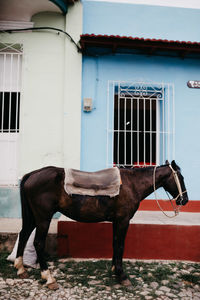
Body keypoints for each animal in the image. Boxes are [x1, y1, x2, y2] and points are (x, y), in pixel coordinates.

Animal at [14, 161, 189, 290]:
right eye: (180, 177)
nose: (185, 200)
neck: (132, 184)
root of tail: (32, 174)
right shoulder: (123, 220)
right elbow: (120, 245)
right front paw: (122, 276)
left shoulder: (117, 221)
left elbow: (115, 244)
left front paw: (114, 270)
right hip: (43, 218)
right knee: (38, 243)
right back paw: (49, 278)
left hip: (33, 217)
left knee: (23, 235)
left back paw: (21, 269)